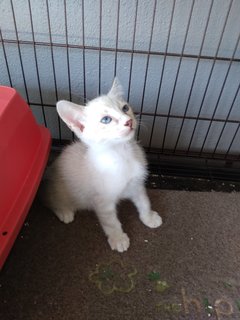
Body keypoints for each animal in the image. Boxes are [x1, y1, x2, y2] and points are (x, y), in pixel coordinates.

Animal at [44, 79, 162, 251]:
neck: (122, 153)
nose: (128, 121)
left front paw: (149, 217)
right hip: (60, 191)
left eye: (125, 108)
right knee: (50, 200)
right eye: (106, 119)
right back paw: (65, 212)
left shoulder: (137, 185)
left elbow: (144, 201)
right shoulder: (102, 201)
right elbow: (110, 221)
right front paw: (118, 238)